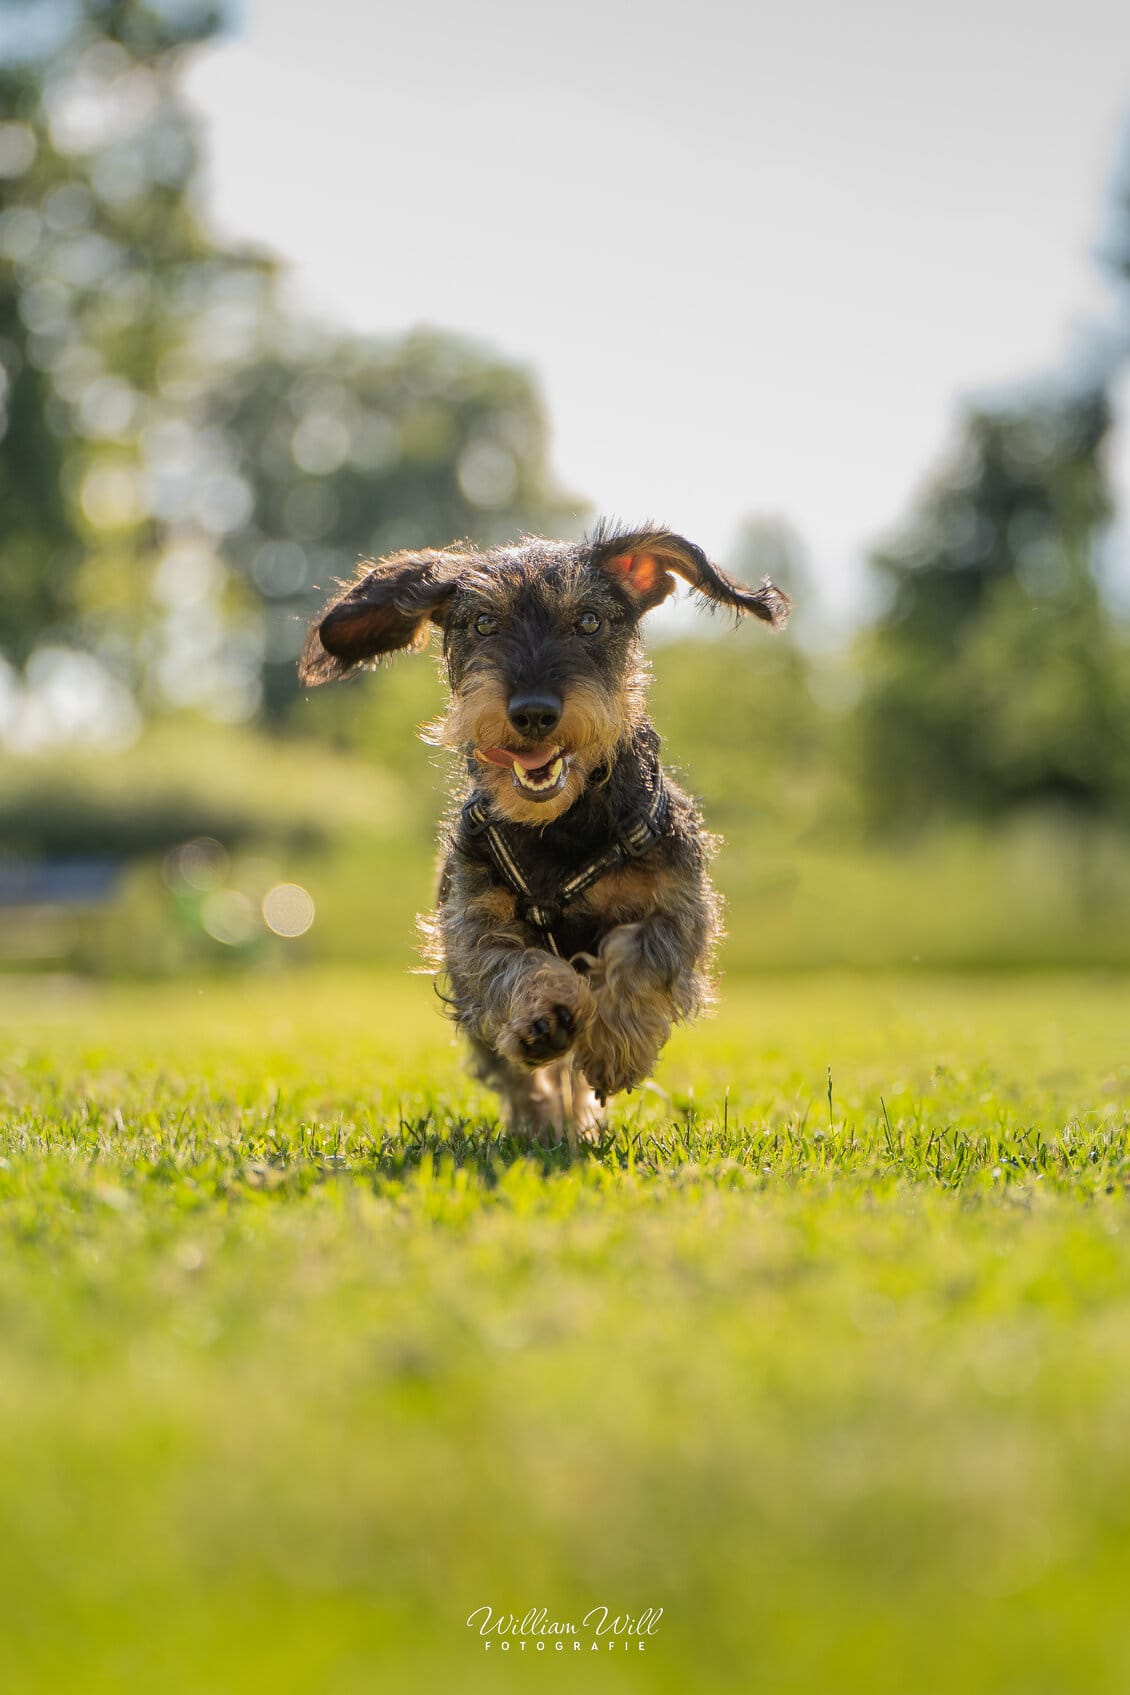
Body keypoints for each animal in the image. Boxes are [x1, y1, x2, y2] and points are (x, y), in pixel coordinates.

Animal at [299, 525, 796, 1139]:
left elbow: (640, 957)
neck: (558, 828)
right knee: (521, 1074)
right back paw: (542, 1119)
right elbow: (511, 964)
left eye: (588, 620)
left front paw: (616, 1046)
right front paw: (544, 1017)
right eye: (484, 623)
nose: (533, 712)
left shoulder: (679, 905)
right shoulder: (469, 924)